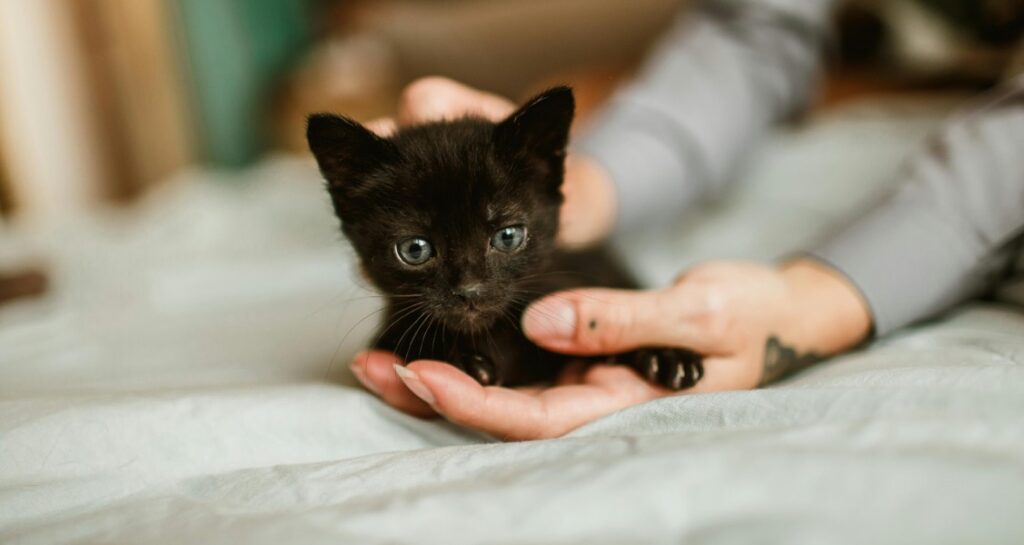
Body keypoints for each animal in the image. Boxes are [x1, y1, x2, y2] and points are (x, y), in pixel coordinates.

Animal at [305, 87, 704, 389]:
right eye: (414, 250)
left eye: (508, 237)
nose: (470, 291)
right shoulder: (387, 331)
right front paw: (457, 359)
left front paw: (665, 353)